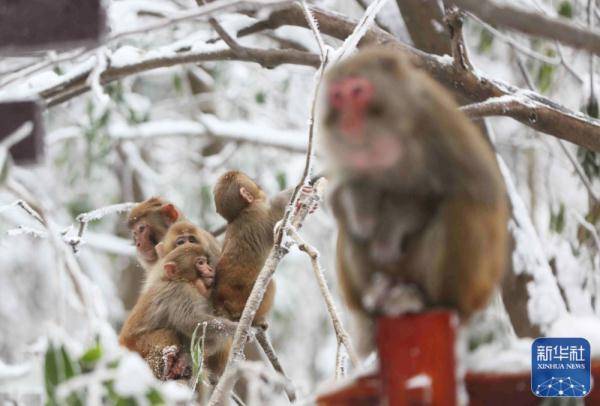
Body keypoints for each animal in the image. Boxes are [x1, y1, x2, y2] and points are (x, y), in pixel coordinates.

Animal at [322, 47, 508, 356]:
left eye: (358, 91)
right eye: (338, 96)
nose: (348, 120)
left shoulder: (434, 127)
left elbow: (437, 195)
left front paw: (388, 234)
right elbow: (342, 197)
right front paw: (360, 207)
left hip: (469, 285)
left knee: (462, 207)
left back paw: (432, 302)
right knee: (348, 231)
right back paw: (377, 297)